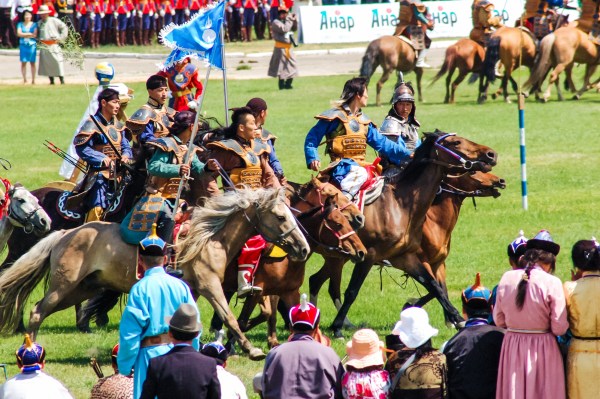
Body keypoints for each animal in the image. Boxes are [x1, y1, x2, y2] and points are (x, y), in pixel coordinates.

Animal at [0, 189, 310, 360]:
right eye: (280, 217)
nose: (304, 248)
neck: (210, 238)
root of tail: (65, 233)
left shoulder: (193, 290)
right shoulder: (210, 285)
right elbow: (229, 317)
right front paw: (252, 350)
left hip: (83, 288)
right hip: (64, 287)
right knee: (38, 311)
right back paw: (33, 350)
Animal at [304, 131, 496, 338]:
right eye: (455, 142)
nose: (491, 154)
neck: (401, 206)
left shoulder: (406, 258)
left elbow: (435, 286)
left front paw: (458, 319)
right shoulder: (369, 256)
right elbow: (352, 291)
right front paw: (337, 327)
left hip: (336, 256)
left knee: (316, 280)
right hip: (337, 257)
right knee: (327, 285)